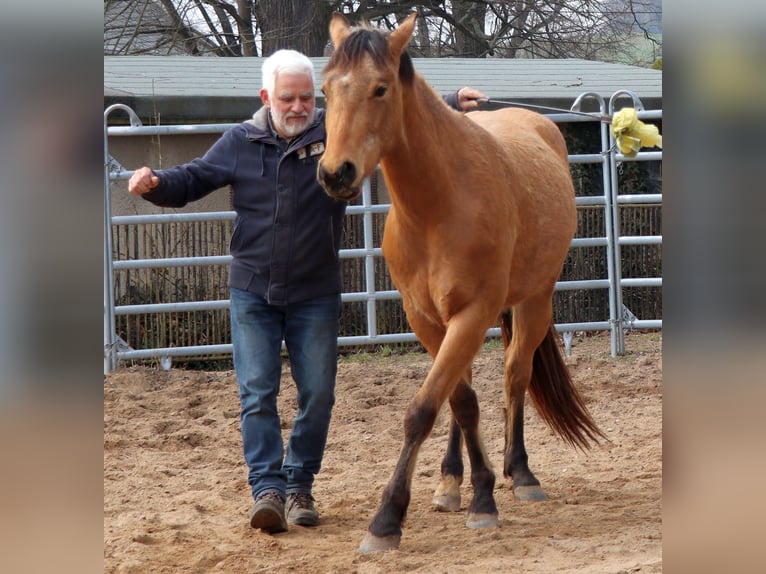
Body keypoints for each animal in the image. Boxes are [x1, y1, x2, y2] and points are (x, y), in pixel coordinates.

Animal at [317, 12, 605, 553]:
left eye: (380, 88)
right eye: (325, 89)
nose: (334, 173)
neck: (438, 205)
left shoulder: (473, 314)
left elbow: (425, 408)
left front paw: (393, 518)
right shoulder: (427, 318)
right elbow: (457, 401)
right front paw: (469, 490)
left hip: (533, 303)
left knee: (515, 376)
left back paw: (520, 473)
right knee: (464, 388)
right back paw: (452, 482)